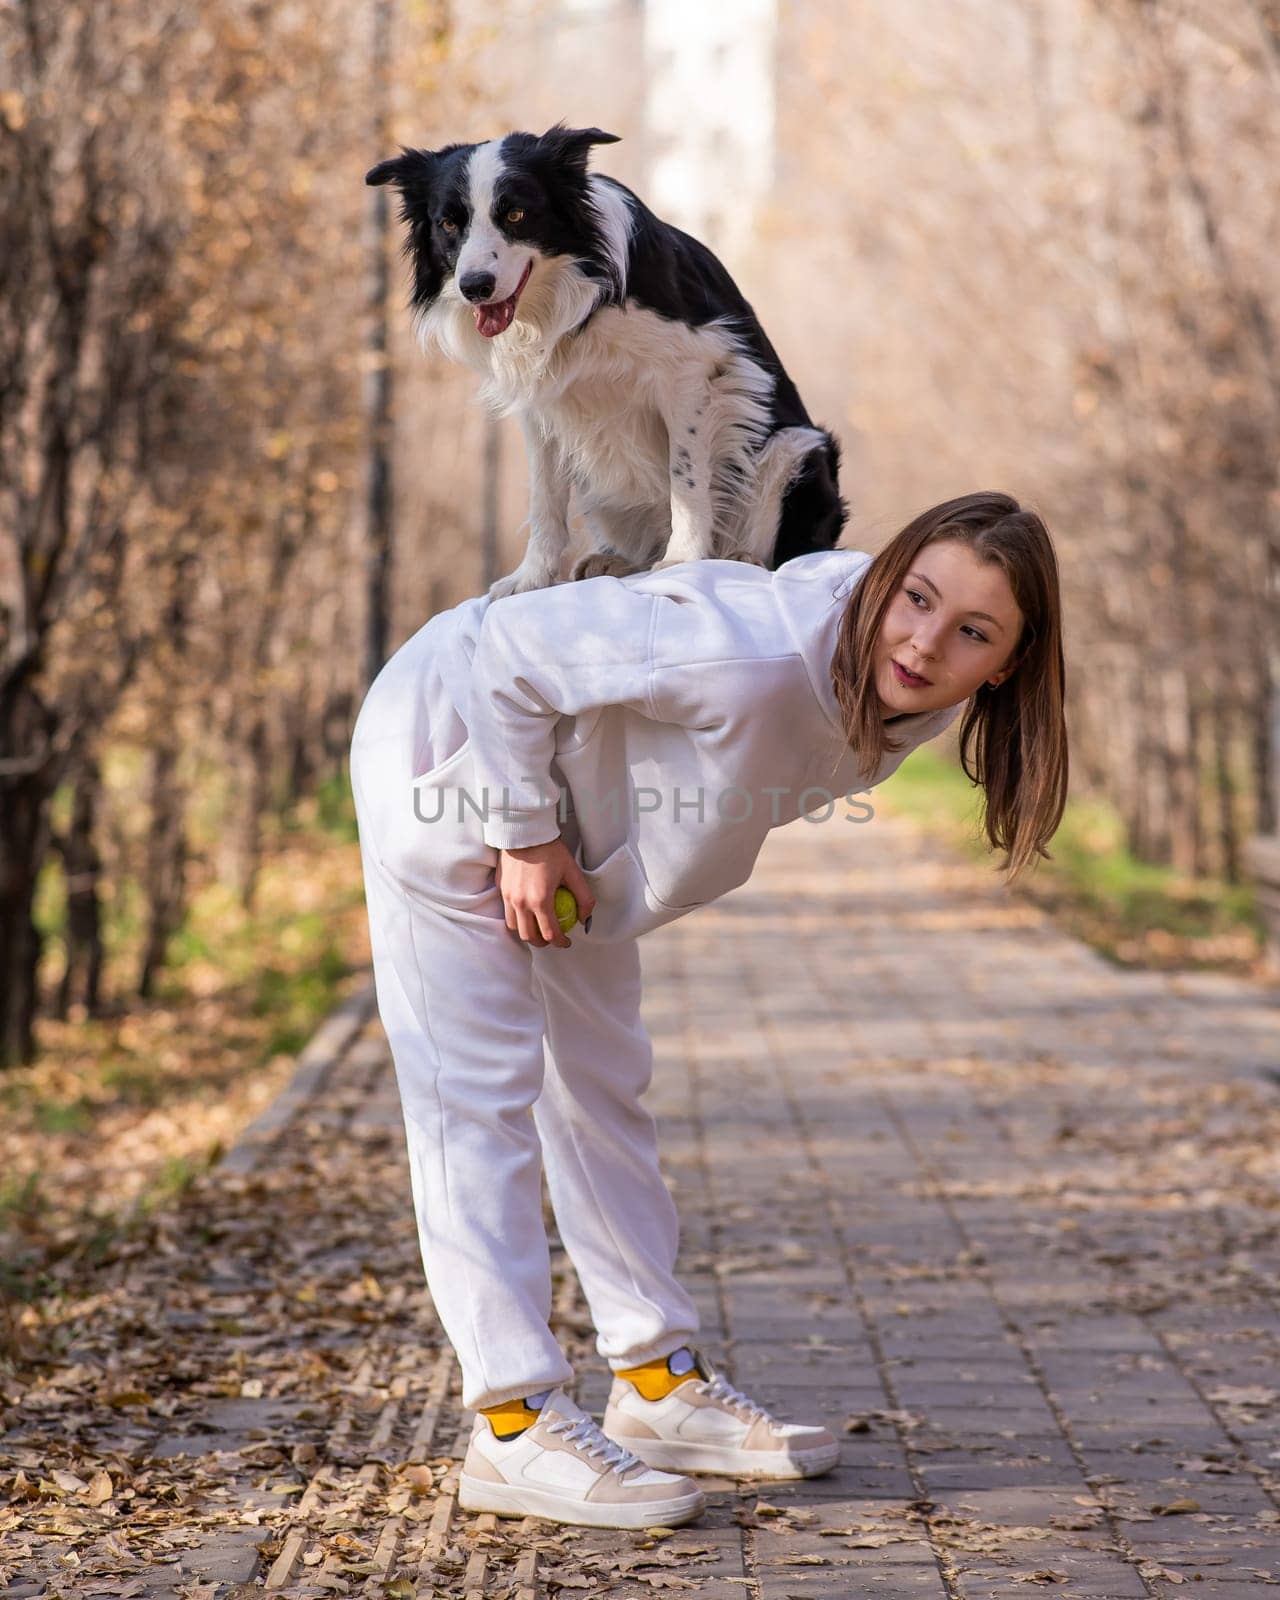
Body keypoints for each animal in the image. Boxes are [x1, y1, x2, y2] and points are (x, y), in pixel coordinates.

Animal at [364, 123, 844, 601]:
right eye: (448, 223)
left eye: (516, 215)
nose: (474, 286)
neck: (568, 293)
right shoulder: (540, 403)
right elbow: (544, 499)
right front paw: (531, 579)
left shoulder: (692, 369)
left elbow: (686, 476)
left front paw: (683, 560)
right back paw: (616, 561)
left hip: (798, 447)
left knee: (776, 544)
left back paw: (737, 558)